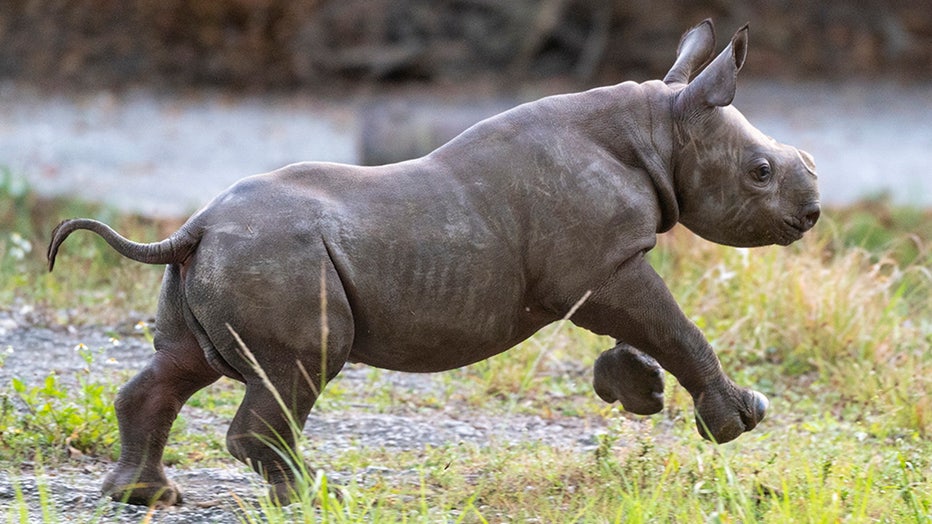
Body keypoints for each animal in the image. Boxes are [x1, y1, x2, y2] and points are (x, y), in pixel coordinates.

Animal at [47, 20, 816, 508]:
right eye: (760, 172)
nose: (811, 212)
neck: (661, 127)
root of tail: (194, 228)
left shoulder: (596, 265)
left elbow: (645, 326)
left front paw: (638, 393)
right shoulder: (598, 265)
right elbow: (674, 323)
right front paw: (740, 419)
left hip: (217, 261)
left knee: (181, 363)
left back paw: (146, 497)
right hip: (276, 259)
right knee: (304, 365)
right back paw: (316, 497)